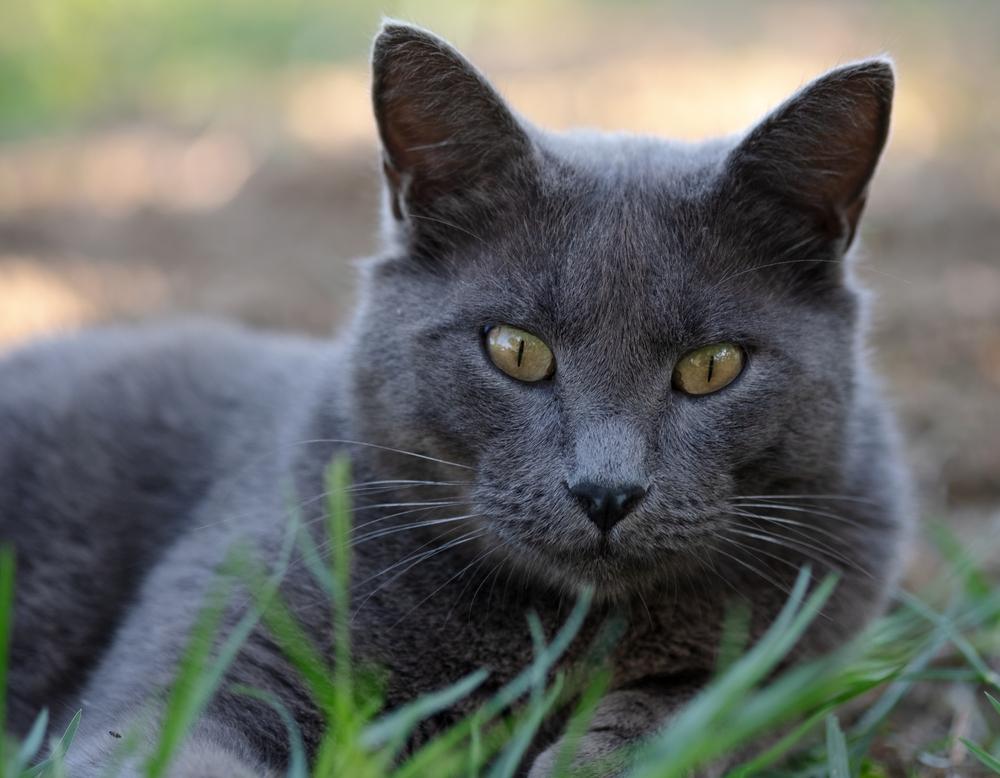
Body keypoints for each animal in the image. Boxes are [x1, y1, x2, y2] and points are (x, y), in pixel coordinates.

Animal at [0, 21, 912, 772]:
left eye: (713, 365)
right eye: (516, 349)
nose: (606, 491)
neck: (564, 636)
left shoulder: (814, 638)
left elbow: (703, 715)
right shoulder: (221, 651)